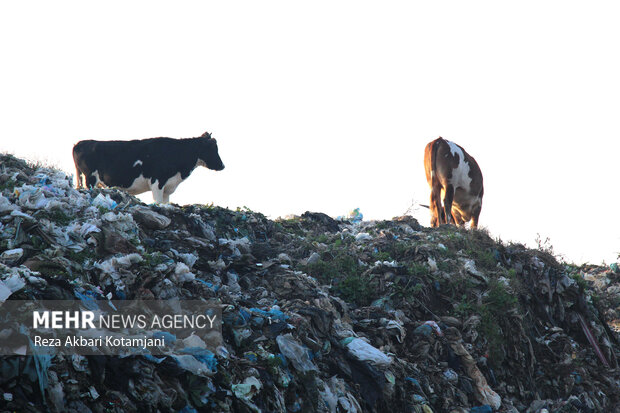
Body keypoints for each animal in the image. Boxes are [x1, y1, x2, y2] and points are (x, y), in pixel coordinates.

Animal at [72, 132, 224, 203]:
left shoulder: (168, 187)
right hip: (90, 178)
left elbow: (165, 203)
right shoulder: (157, 181)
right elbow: (158, 202)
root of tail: (79, 143)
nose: (222, 165)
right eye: (212, 148)